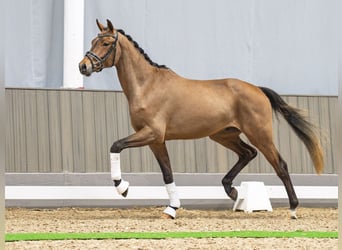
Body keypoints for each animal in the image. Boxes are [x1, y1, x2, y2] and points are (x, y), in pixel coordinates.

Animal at [79, 19, 324, 219]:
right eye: (92, 41)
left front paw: (123, 188)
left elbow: (116, 146)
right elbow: (167, 173)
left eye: (106, 43)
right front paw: (171, 209)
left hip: (259, 134)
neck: (147, 85)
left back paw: (293, 209)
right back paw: (232, 191)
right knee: (248, 153)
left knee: (279, 164)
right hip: (223, 135)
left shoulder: (151, 133)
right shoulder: (156, 140)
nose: (83, 66)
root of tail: (258, 89)